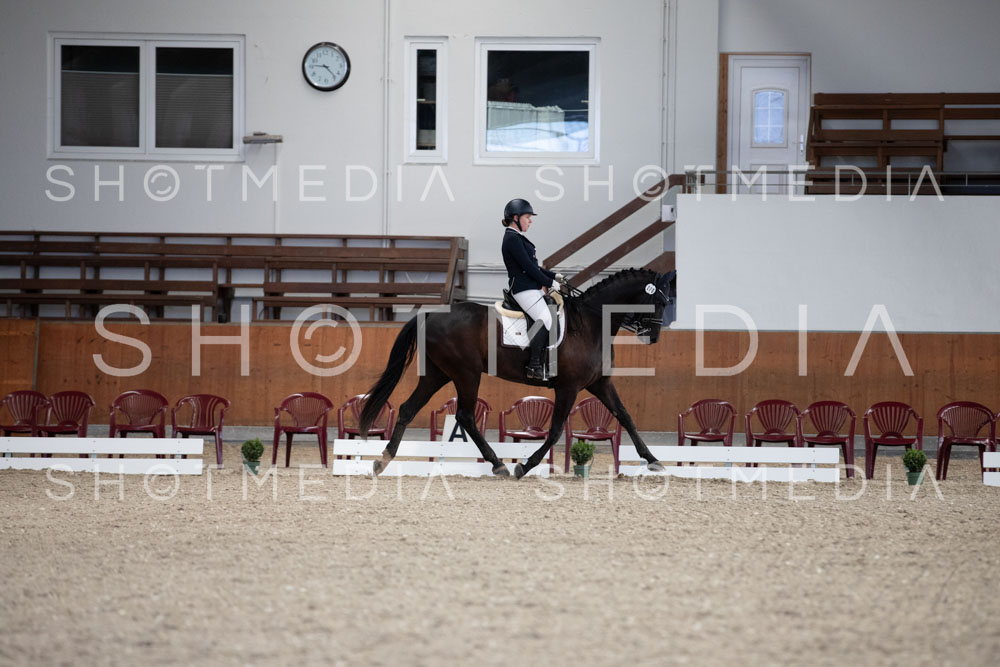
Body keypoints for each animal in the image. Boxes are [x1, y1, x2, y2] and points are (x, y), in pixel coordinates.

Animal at [358, 267, 674, 479]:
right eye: (659, 302)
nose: (654, 337)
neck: (590, 323)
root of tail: (431, 314)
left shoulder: (599, 383)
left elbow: (626, 417)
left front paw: (653, 460)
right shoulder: (569, 387)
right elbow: (555, 430)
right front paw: (524, 465)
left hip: (439, 374)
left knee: (408, 408)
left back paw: (383, 460)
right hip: (466, 373)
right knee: (465, 416)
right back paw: (499, 464)